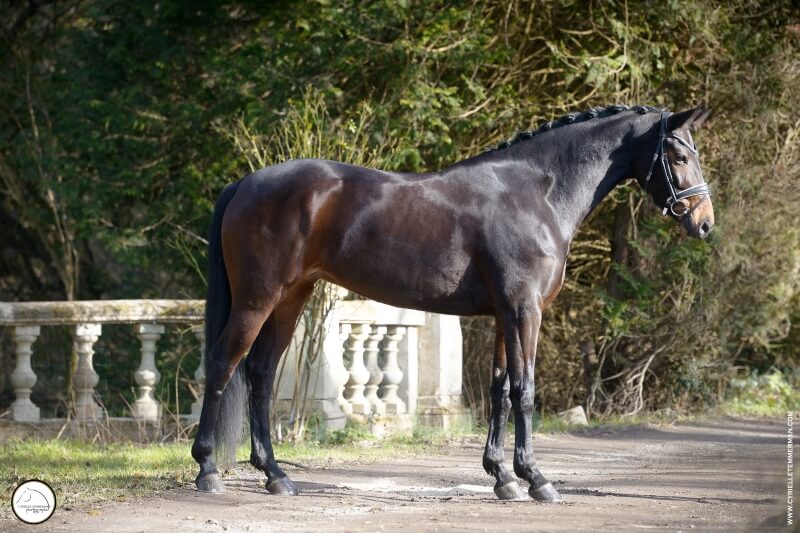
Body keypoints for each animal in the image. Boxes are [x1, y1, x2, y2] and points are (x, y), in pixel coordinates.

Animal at [191, 104, 714, 502]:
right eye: (676, 154)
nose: (705, 222)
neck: (536, 195)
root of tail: (246, 183)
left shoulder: (506, 315)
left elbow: (501, 390)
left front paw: (503, 478)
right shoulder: (525, 311)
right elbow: (525, 390)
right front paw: (537, 479)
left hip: (290, 298)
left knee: (260, 373)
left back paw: (275, 475)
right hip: (258, 297)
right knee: (222, 366)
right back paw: (209, 471)